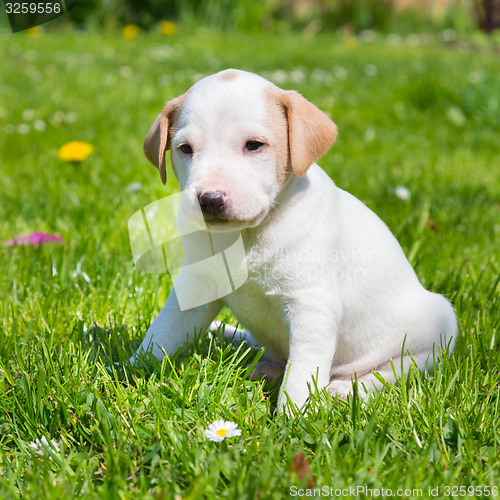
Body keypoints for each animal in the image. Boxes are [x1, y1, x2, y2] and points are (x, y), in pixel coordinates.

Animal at [135, 69, 456, 410]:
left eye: (254, 145)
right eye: (185, 149)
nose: (209, 199)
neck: (247, 236)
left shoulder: (311, 306)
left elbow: (303, 369)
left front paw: (296, 413)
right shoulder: (197, 287)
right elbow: (163, 332)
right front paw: (129, 370)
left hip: (436, 328)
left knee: (393, 371)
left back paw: (346, 388)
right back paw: (265, 368)